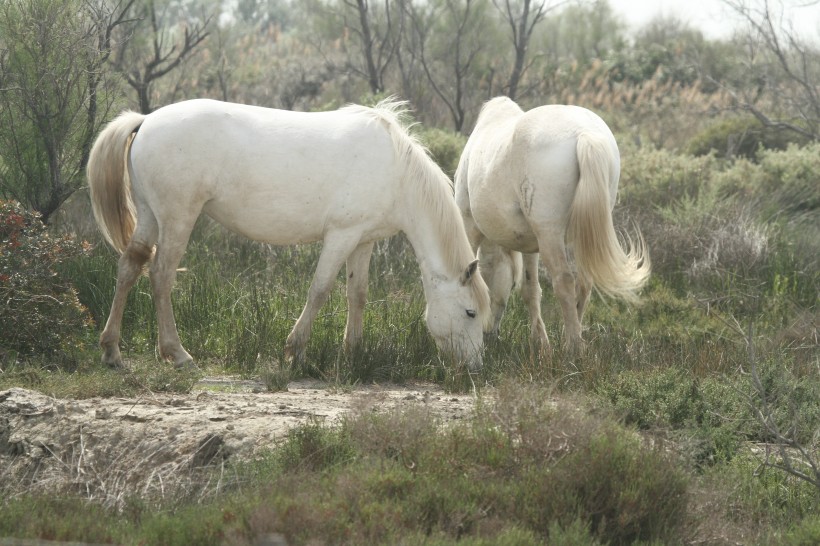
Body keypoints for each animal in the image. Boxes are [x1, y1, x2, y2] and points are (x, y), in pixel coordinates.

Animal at [86, 98, 490, 370]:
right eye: (470, 313)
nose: (474, 369)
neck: (395, 169)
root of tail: (146, 120)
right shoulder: (341, 236)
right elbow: (320, 290)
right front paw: (295, 350)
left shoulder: (363, 240)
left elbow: (357, 295)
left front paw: (353, 353)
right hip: (177, 218)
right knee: (161, 275)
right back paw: (178, 353)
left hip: (149, 216)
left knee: (130, 266)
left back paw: (111, 351)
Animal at [452, 96, 652, 352]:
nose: (489, 333)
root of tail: (584, 134)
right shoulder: (529, 244)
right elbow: (530, 289)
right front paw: (540, 342)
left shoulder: (470, 226)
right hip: (579, 238)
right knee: (584, 283)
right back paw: (574, 333)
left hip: (550, 235)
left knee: (564, 281)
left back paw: (573, 347)